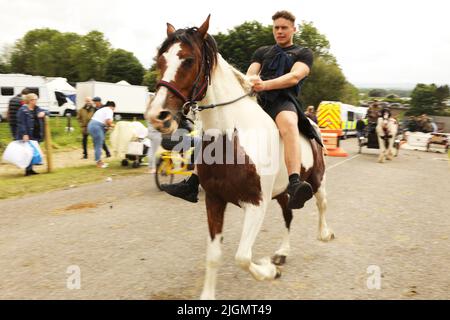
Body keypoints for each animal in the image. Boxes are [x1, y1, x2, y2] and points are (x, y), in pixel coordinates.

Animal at [148, 15, 334, 300]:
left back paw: (324, 234)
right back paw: (282, 253)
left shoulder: (256, 205)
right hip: (281, 193)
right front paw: (208, 295)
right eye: (161, 60)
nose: (159, 115)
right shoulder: (214, 200)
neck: (232, 136)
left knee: (322, 203)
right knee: (288, 216)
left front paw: (269, 272)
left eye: (188, 60)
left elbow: (242, 257)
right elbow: (214, 255)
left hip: (316, 179)